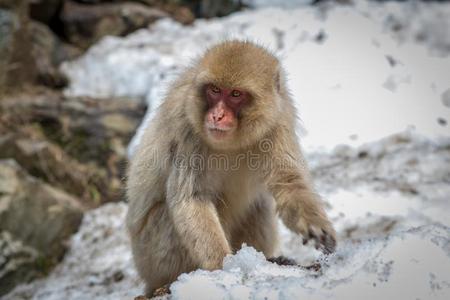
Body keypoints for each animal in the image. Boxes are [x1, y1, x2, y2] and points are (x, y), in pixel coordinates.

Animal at [125, 39, 336, 296]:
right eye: (214, 90)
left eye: (235, 94)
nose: (217, 115)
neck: (233, 142)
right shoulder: (186, 130)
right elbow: (191, 199)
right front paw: (225, 268)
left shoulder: (277, 123)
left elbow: (289, 182)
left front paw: (315, 224)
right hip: (152, 257)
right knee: (166, 215)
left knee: (259, 205)